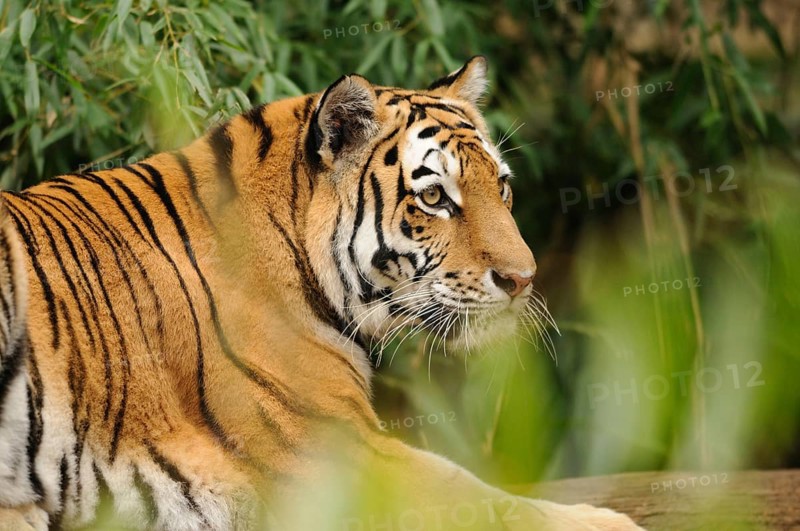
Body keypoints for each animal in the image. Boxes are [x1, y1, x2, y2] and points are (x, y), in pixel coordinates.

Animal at [0, 56, 642, 530]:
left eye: (501, 187)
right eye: (435, 198)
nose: (522, 279)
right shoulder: (341, 454)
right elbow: (483, 495)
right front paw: (607, 522)